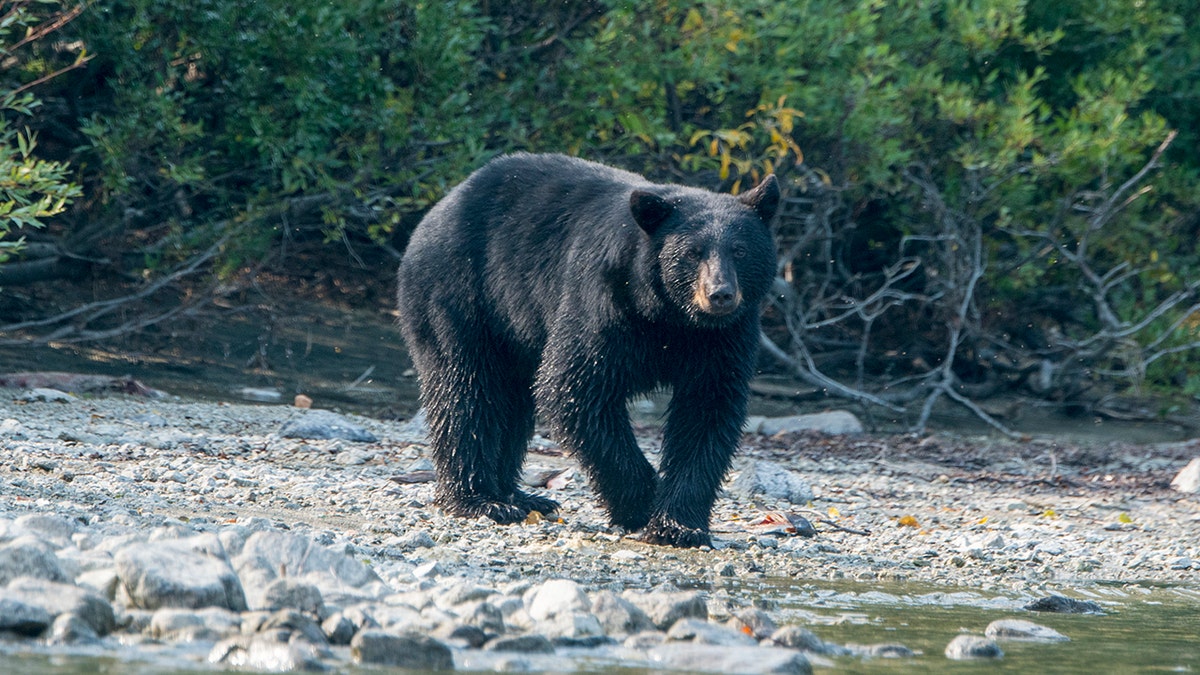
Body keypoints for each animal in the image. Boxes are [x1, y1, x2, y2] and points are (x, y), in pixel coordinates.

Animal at [398, 153, 782, 547]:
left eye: (740, 250)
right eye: (693, 253)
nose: (720, 294)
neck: (670, 317)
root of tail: (441, 206)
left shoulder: (723, 337)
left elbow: (708, 410)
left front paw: (678, 524)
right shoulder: (604, 302)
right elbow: (575, 388)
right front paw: (643, 502)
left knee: (511, 401)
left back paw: (519, 496)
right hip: (461, 294)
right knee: (466, 390)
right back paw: (481, 501)